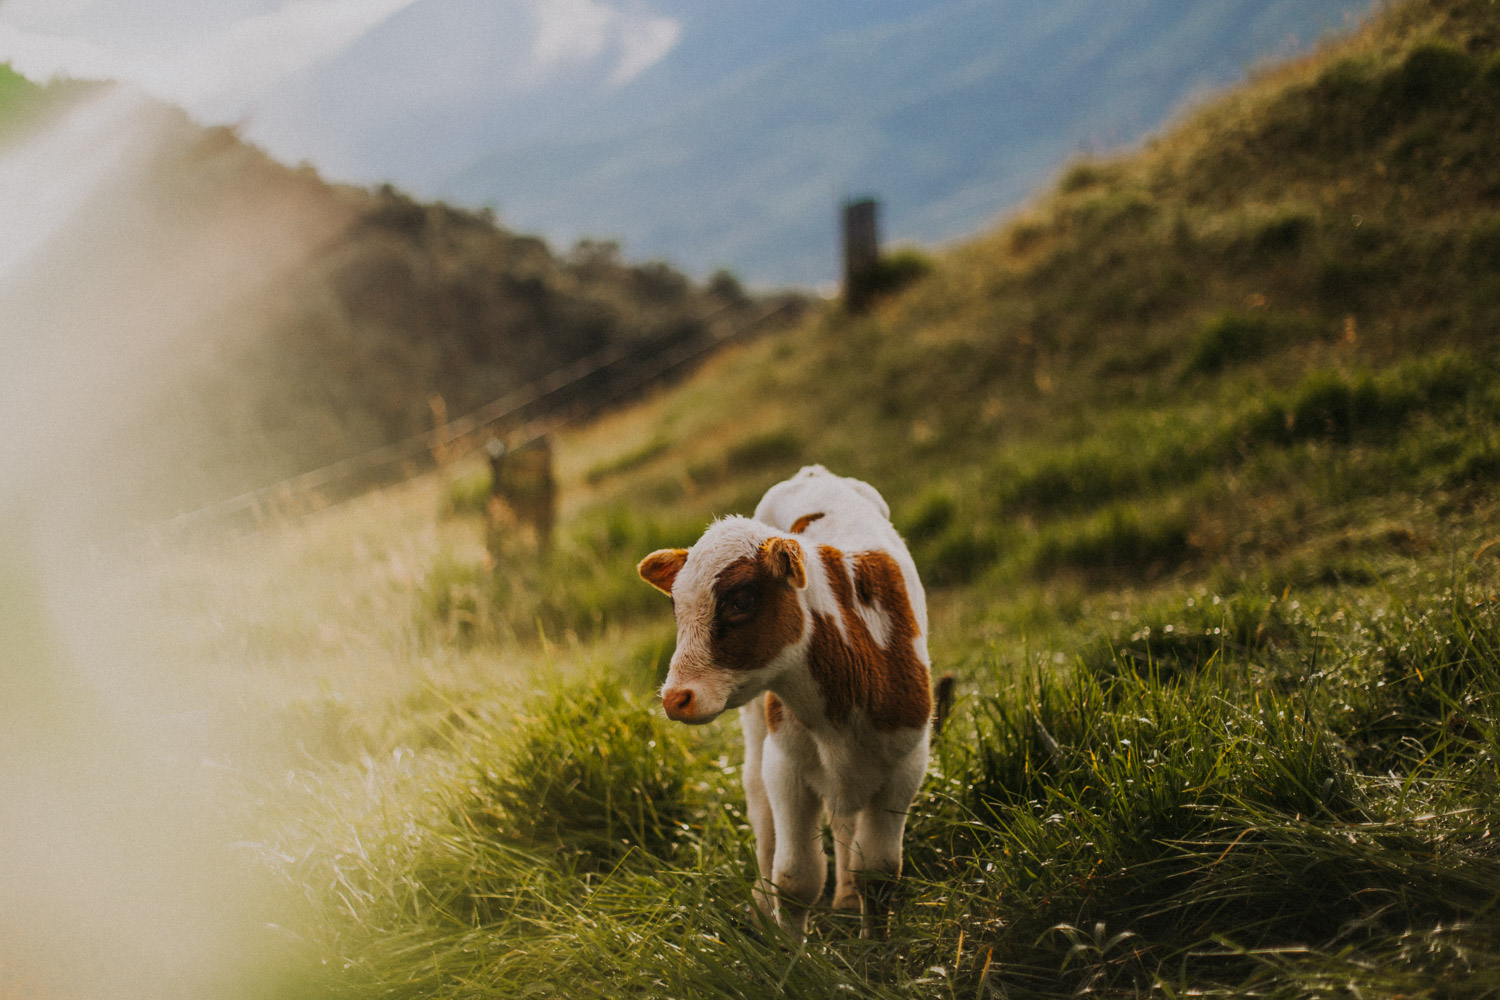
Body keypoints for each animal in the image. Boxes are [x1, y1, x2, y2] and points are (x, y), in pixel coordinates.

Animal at [636, 464, 936, 941]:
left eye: (742, 600)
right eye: (676, 607)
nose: (676, 698)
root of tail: (814, 472)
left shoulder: (907, 764)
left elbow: (879, 871)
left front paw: (877, 948)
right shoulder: (787, 766)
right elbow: (796, 878)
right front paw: (788, 952)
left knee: (843, 817)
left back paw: (845, 897)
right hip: (758, 724)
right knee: (759, 800)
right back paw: (762, 903)